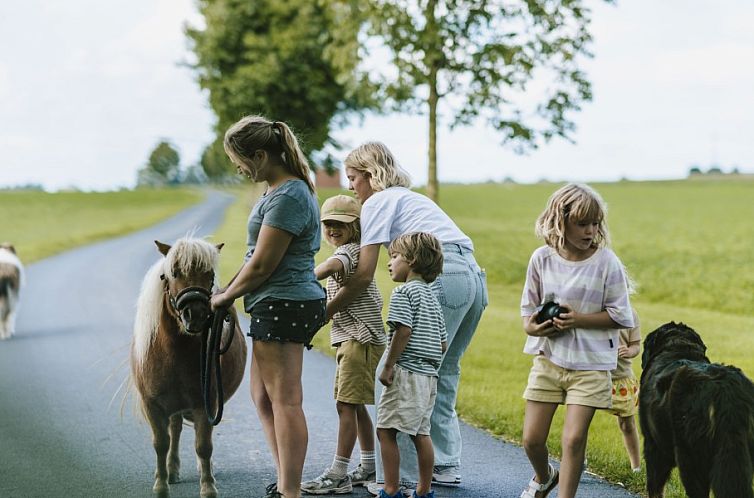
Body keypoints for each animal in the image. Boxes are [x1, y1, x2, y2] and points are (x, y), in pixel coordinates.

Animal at [129, 239, 245, 496]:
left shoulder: (205, 404)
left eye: (210, 274)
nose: (196, 314)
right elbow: (161, 443)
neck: (175, 354)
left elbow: (203, 446)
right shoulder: (153, 405)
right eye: (172, 273)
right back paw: (171, 470)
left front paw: (208, 486)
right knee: (175, 430)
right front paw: (161, 485)